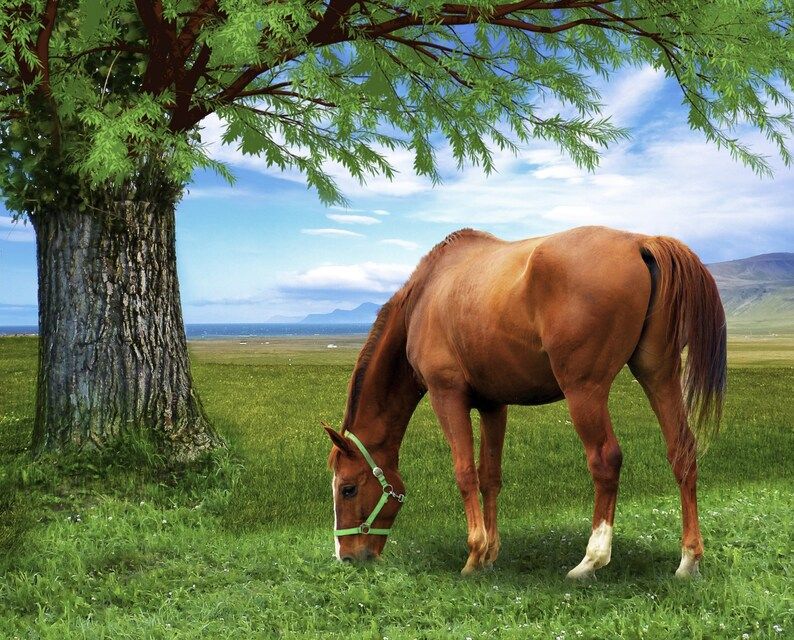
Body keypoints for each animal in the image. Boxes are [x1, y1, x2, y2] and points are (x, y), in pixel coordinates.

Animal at [325, 225, 726, 579]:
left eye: (348, 488)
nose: (347, 556)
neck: (424, 298)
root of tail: (639, 242)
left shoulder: (446, 395)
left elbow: (465, 472)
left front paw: (473, 556)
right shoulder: (492, 405)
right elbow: (489, 475)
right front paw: (490, 555)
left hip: (585, 390)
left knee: (605, 459)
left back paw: (590, 561)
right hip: (658, 374)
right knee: (682, 451)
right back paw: (688, 560)